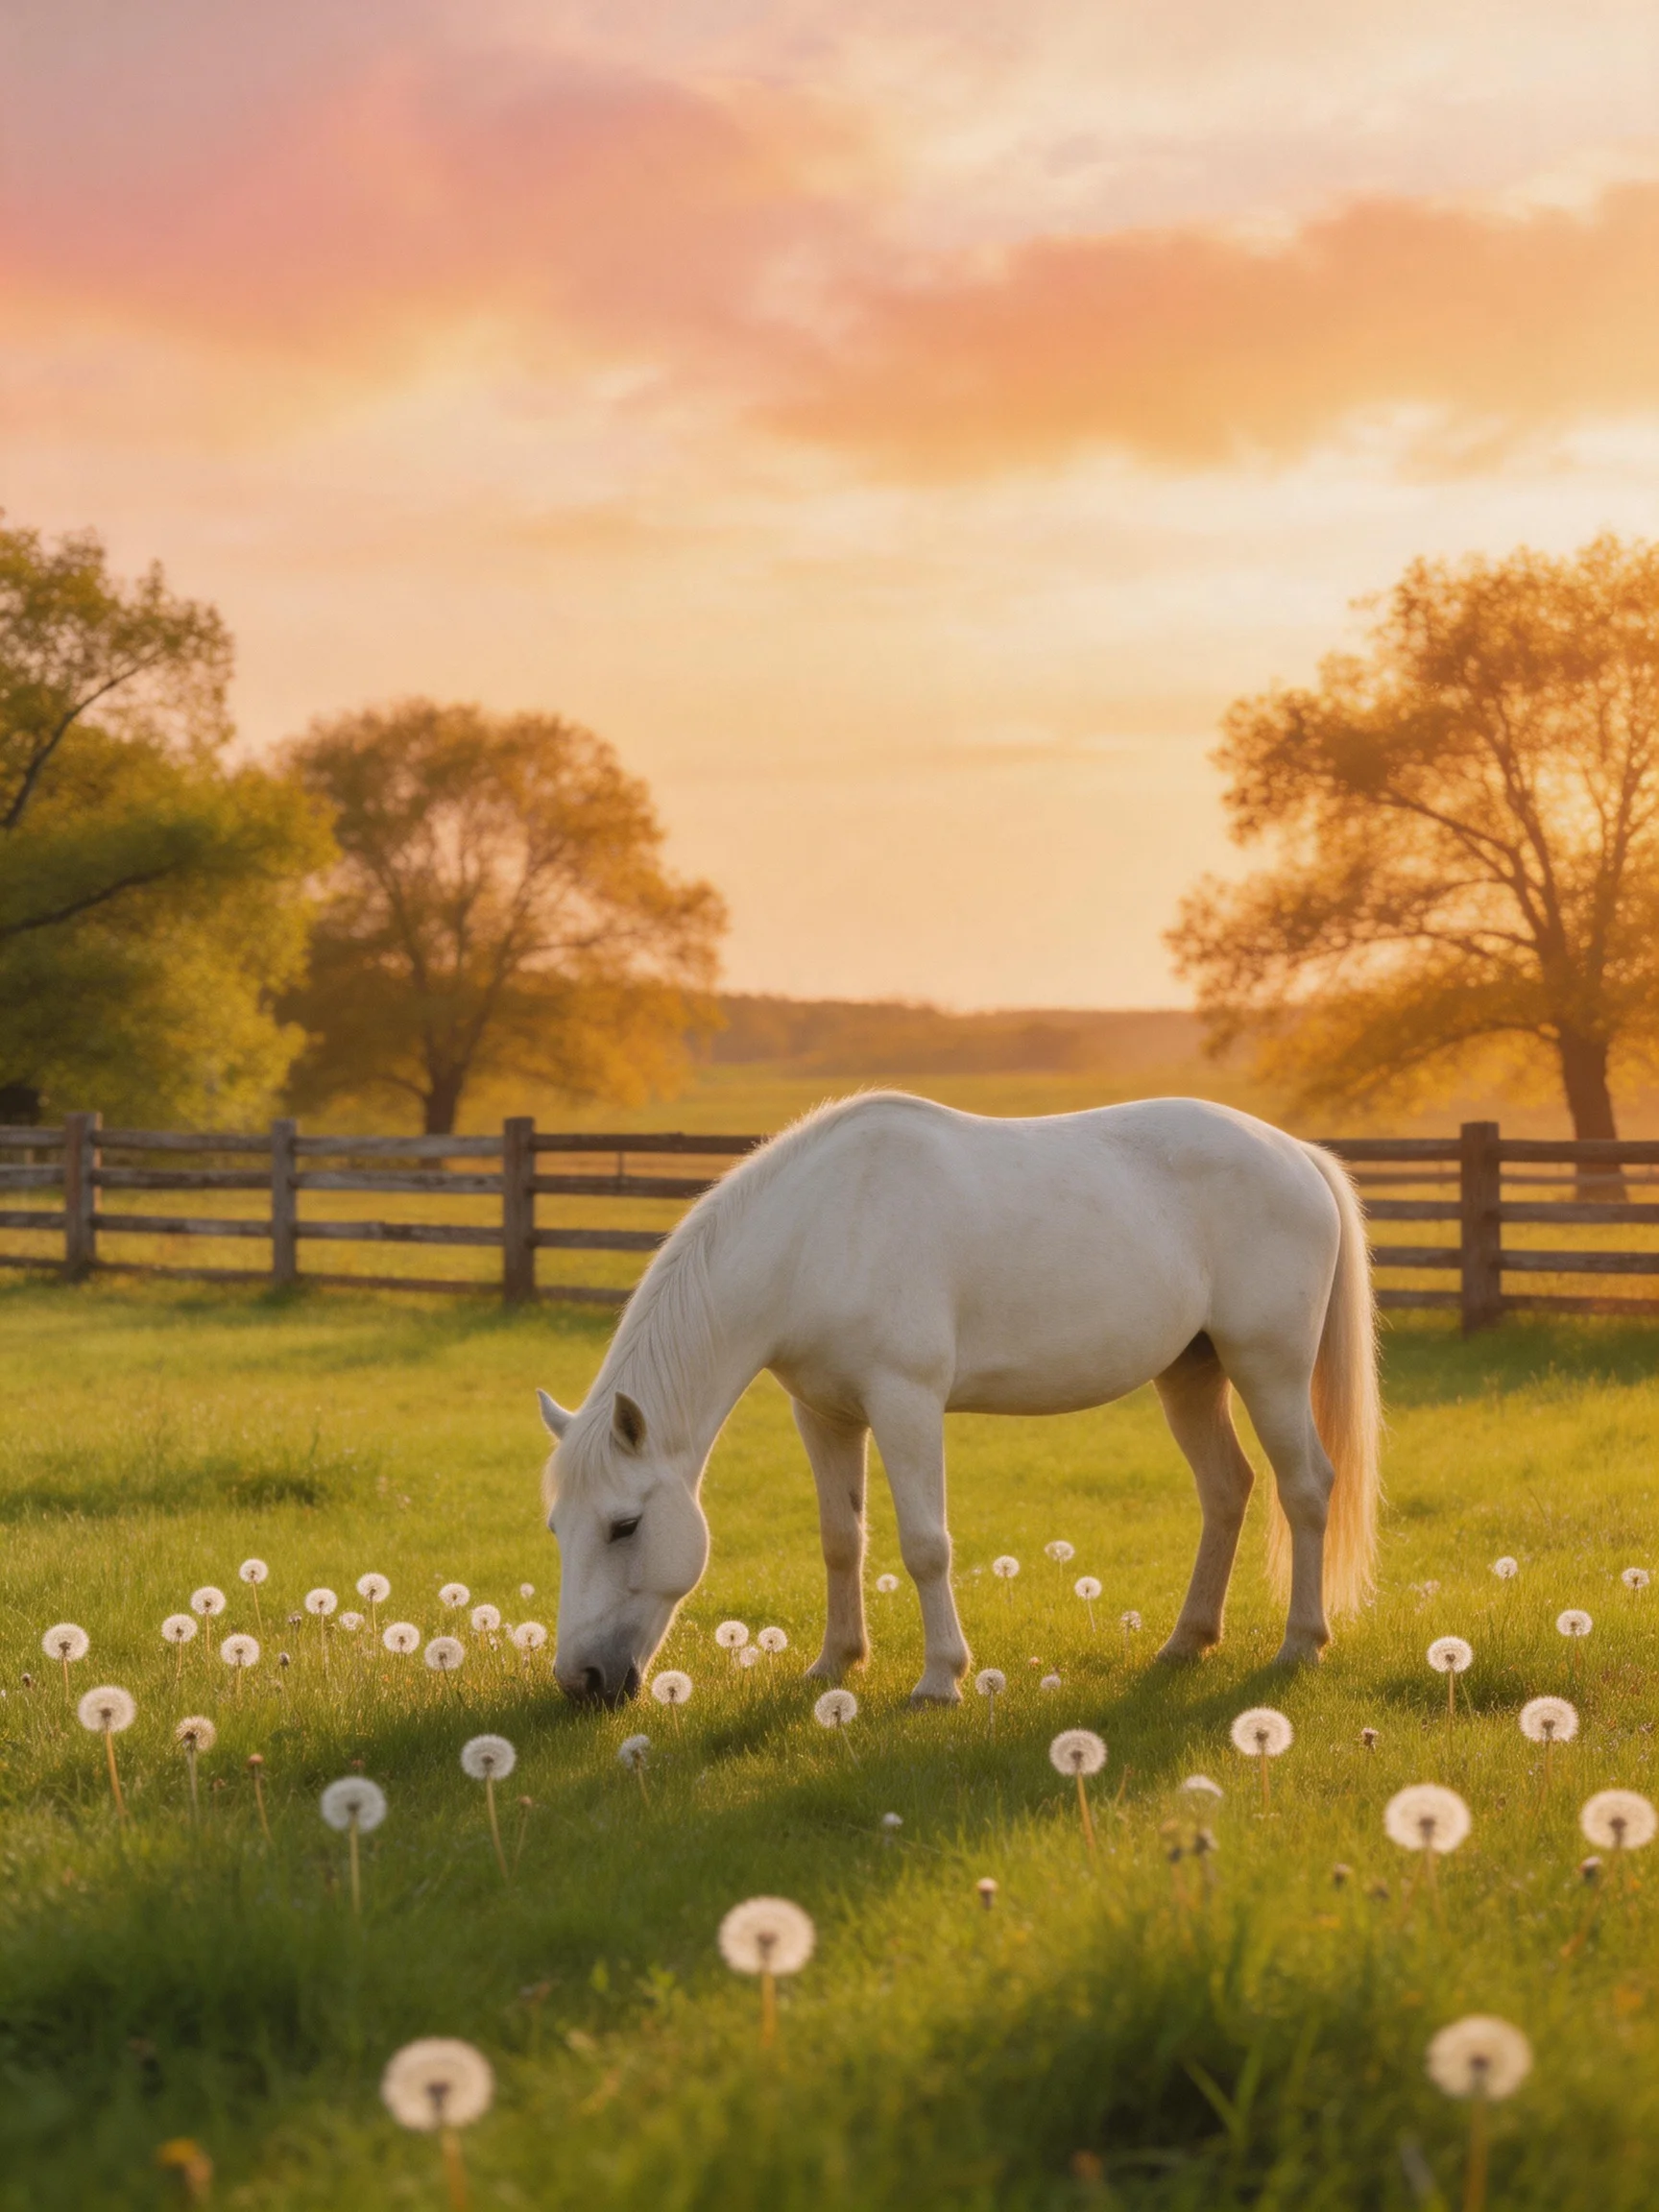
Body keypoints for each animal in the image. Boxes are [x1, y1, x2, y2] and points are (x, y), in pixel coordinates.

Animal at [537, 1092, 1379, 1707]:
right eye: (556, 1528)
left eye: (623, 1526)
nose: (582, 1681)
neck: (818, 1233)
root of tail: (1297, 1154)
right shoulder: (824, 1415)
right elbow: (840, 1540)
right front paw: (835, 1663)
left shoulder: (905, 1403)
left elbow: (924, 1545)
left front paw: (941, 1677)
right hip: (1191, 1374)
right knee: (1227, 1489)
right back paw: (1188, 1640)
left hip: (1268, 1367)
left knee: (1306, 1488)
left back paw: (1301, 1643)